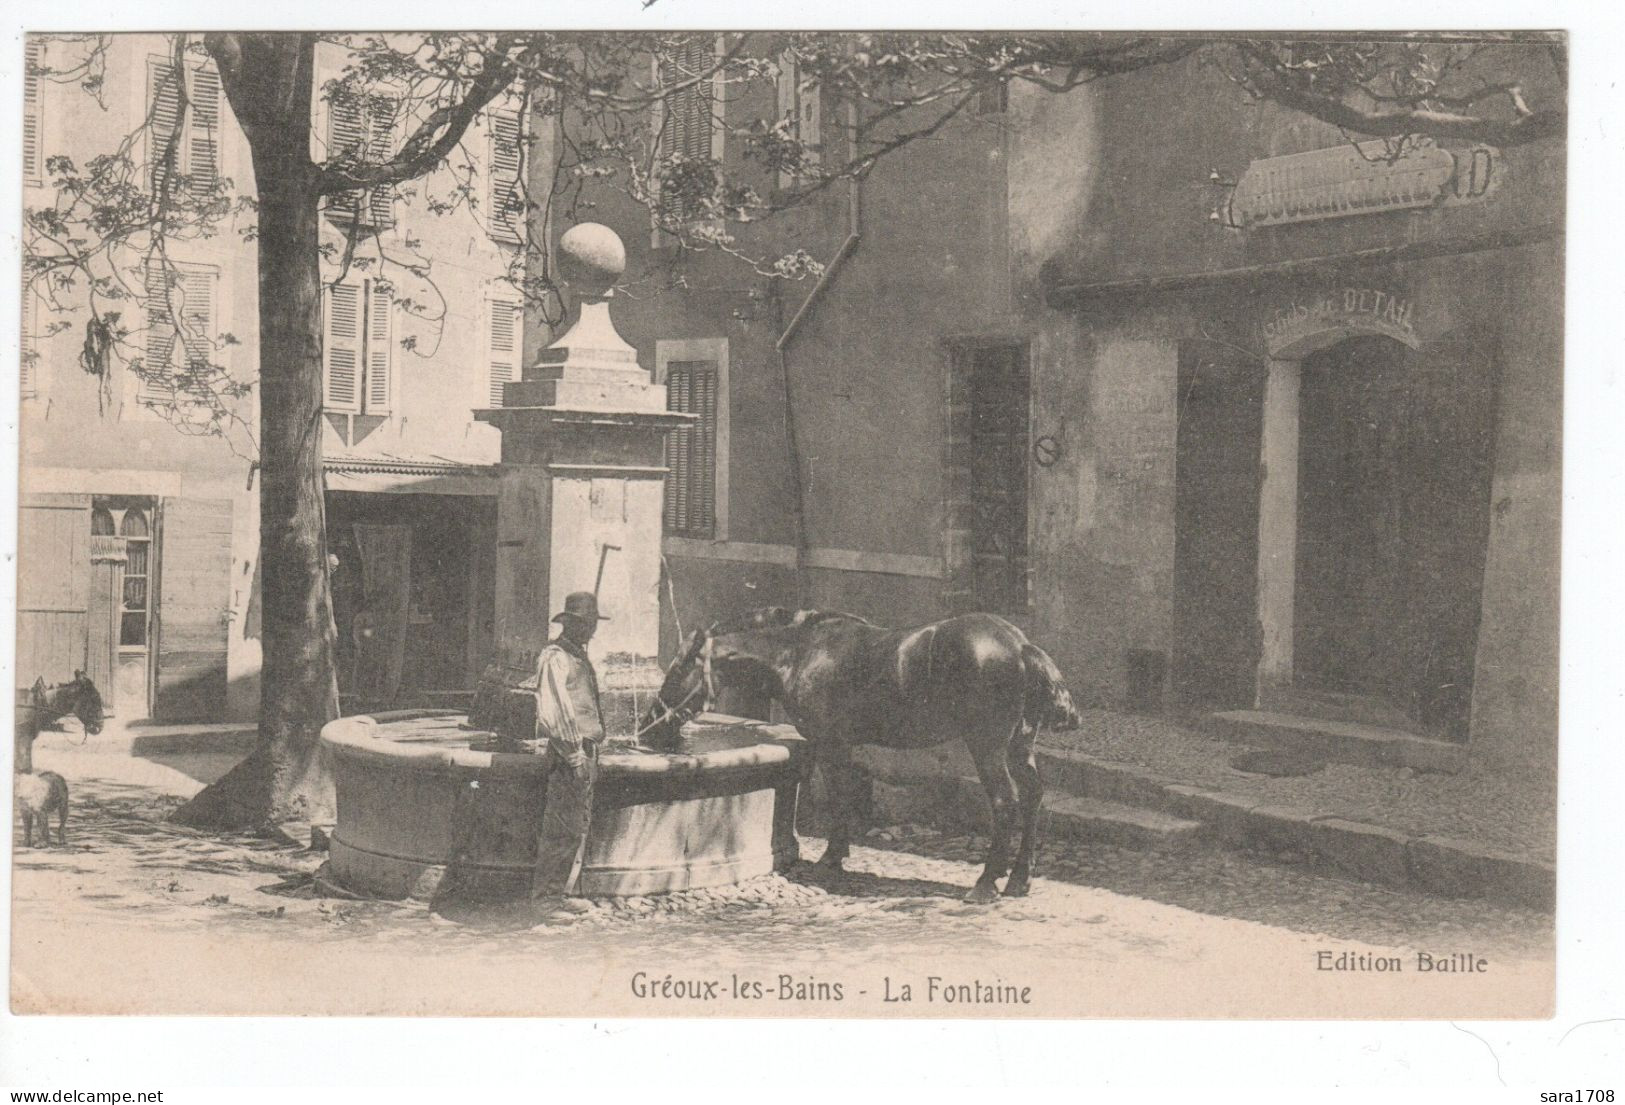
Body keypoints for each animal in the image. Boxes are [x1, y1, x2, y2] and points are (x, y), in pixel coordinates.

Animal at [640, 607, 1085, 903]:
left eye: (677, 670)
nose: (648, 726)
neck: (798, 653)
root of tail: (1020, 644)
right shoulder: (843, 745)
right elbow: (849, 793)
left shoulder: (828, 743)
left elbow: (840, 797)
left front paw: (831, 857)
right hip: (1019, 746)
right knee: (1033, 799)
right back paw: (1019, 880)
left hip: (987, 746)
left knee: (1005, 803)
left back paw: (986, 883)